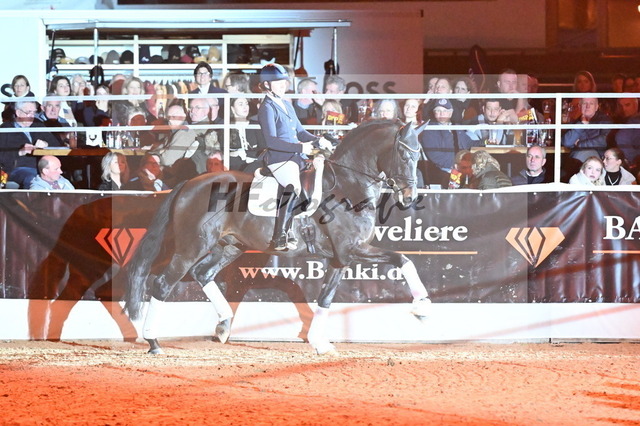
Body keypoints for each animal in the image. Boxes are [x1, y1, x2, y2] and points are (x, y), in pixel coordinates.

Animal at [124, 120, 432, 355]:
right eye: (404, 155)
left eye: (419, 156)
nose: (409, 198)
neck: (348, 185)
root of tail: (188, 184)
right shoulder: (351, 249)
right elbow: (402, 259)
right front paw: (422, 307)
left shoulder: (340, 258)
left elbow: (326, 298)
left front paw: (319, 343)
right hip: (191, 247)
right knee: (163, 284)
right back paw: (153, 341)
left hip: (230, 246)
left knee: (203, 274)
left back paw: (223, 326)